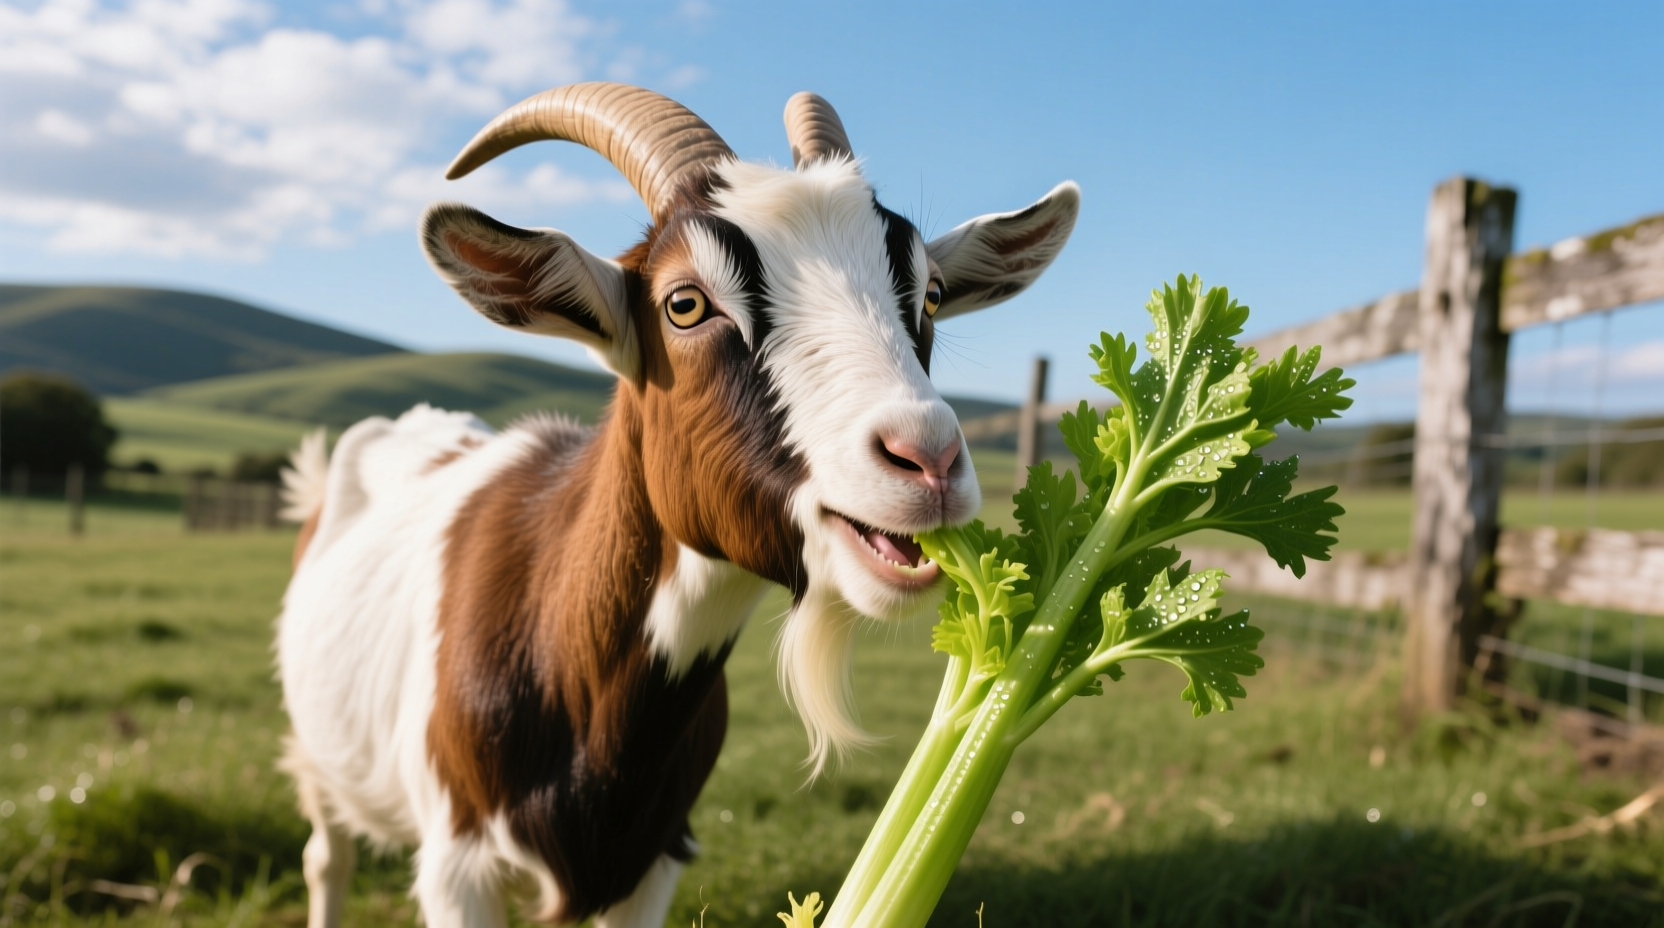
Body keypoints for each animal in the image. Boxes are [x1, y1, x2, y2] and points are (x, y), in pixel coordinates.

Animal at [277, 82, 1078, 928]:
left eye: (928, 293)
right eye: (685, 304)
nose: (928, 458)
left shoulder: (656, 860)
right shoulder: (457, 868)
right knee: (326, 856)